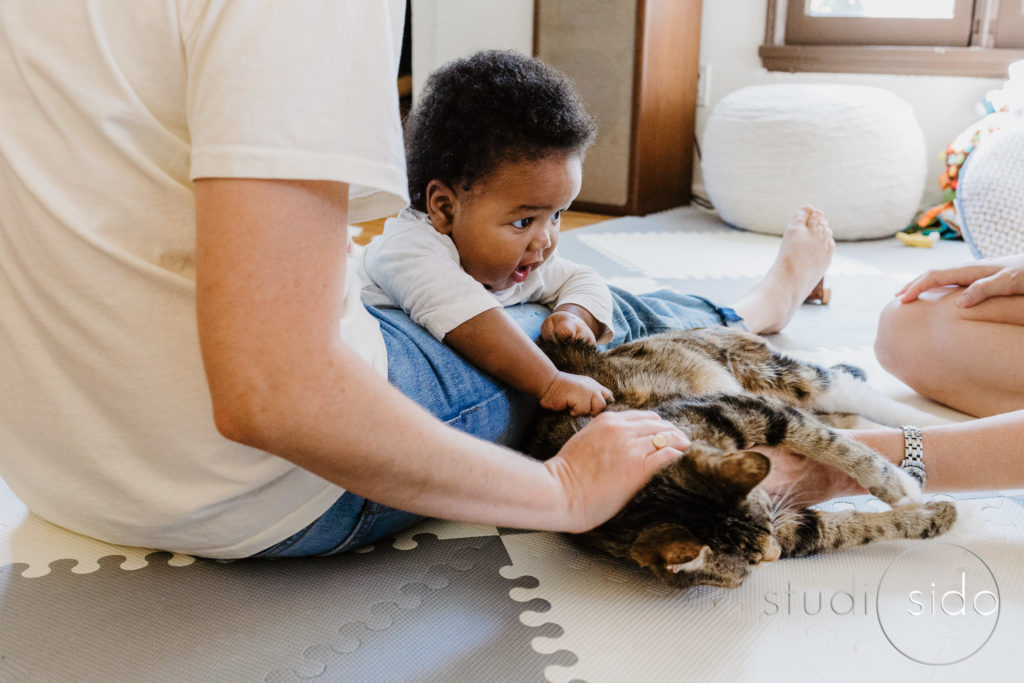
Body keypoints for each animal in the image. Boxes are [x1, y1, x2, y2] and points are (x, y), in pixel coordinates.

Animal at [528, 325, 958, 589]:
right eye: (750, 561)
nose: (774, 555)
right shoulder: (790, 527)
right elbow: (847, 528)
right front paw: (950, 520)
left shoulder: (748, 409)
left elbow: (833, 444)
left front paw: (900, 486)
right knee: (847, 415)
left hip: (770, 373)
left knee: (848, 391)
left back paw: (932, 421)